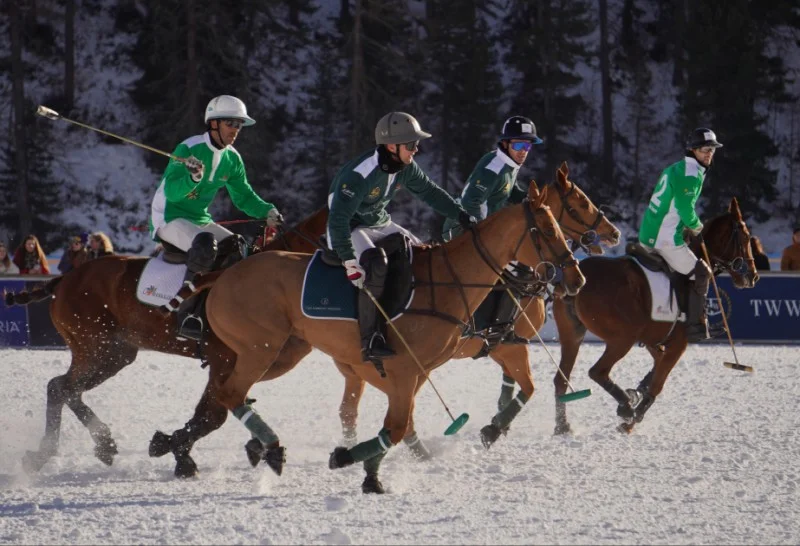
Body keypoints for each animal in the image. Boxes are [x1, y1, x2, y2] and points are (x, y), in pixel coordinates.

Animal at [3, 204, 328, 472]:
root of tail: (64, 280)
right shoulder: (223, 361)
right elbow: (213, 414)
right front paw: (175, 451)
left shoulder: (247, 364)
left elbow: (214, 409)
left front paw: (180, 448)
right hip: (95, 346)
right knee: (62, 388)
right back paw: (70, 449)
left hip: (116, 353)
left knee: (63, 387)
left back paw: (88, 446)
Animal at [175, 181, 584, 490]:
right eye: (549, 230)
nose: (576, 279)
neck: (451, 280)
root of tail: (223, 273)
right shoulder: (411, 367)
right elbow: (399, 425)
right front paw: (355, 465)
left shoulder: (415, 370)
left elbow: (399, 423)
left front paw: (367, 467)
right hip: (261, 349)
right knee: (229, 394)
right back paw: (264, 448)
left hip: (277, 352)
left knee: (227, 396)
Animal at [332, 160, 624, 450]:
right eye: (581, 203)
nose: (615, 233)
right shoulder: (509, 345)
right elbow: (526, 388)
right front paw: (494, 429)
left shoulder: (504, 346)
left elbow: (512, 387)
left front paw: (500, 426)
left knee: (354, 404)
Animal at [552, 197, 760, 434]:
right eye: (746, 237)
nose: (753, 276)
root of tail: (578, 280)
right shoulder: (678, 343)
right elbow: (658, 384)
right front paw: (631, 420)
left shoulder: (654, 338)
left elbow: (656, 366)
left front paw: (637, 392)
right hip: (622, 338)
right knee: (598, 371)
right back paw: (626, 408)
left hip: (572, 334)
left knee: (561, 379)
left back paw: (562, 426)